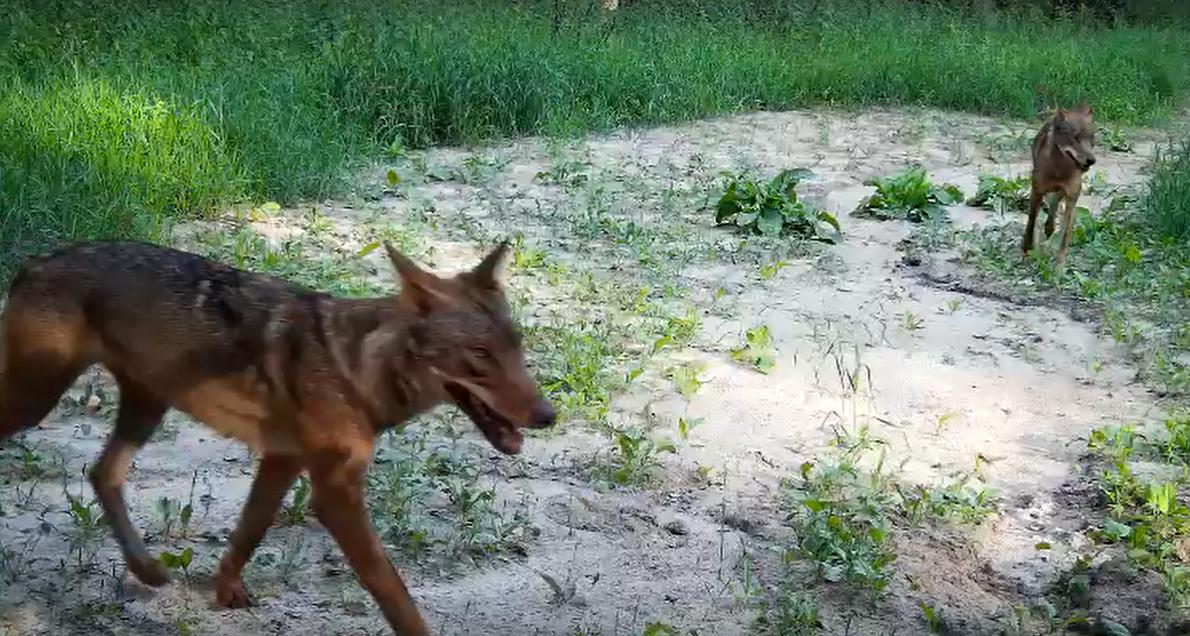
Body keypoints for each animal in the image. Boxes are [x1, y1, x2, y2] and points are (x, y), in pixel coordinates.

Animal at [0, 240, 556, 636]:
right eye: (479, 356)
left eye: (516, 348)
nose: (548, 416)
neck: (357, 371)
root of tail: (33, 263)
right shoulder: (334, 494)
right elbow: (394, 593)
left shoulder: (283, 459)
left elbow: (248, 532)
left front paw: (225, 591)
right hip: (39, 402)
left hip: (146, 406)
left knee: (102, 473)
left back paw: (147, 570)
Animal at [1023, 101, 1094, 269]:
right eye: (1076, 139)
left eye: (1092, 139)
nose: (1092, 160)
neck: (1058, 169)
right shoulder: (1036, 192)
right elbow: (1031, 223)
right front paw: (1027, 251)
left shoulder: (1071, 197)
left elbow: (1065, 234)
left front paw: (1059, 267)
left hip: (1063, 195)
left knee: (1055, 209)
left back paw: (1050, 228)